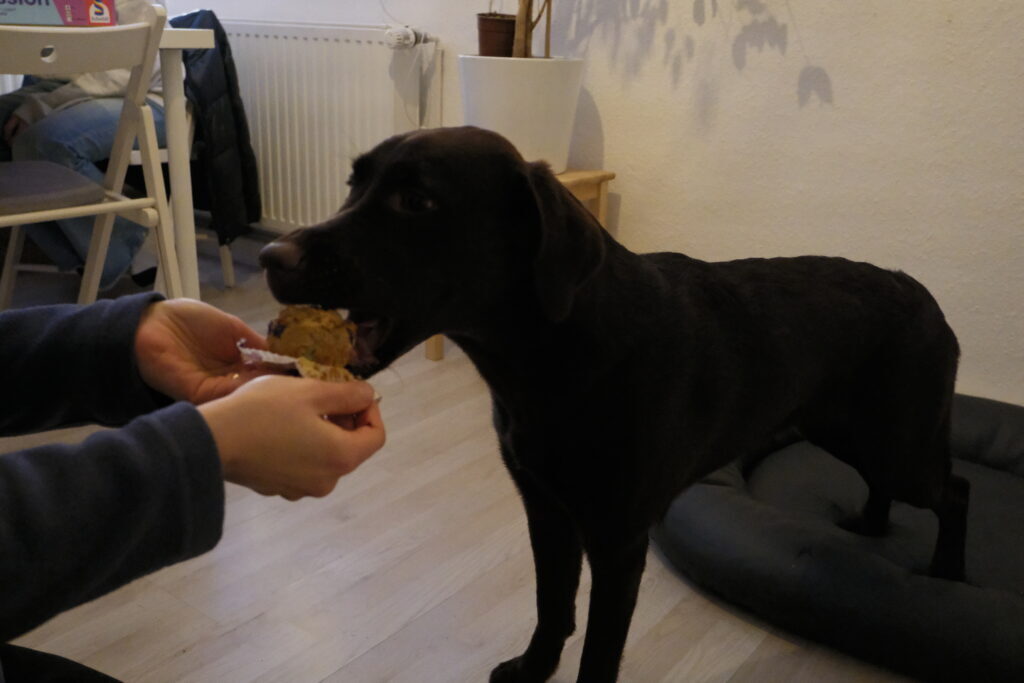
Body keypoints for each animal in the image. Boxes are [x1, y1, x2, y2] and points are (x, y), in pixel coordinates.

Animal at [259, 126, 969, 683]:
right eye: (352, 185)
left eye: (417, 200)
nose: (270, 255)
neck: (552, 358)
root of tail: (921, 292)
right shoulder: (546, 509)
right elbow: (552, 608)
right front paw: (532, 670)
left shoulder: (618, 541)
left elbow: (600, 652)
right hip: (848, 430)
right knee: (889, 485)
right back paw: (871, 525)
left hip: (897, 440)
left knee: (955, 487)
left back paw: (949, 570)